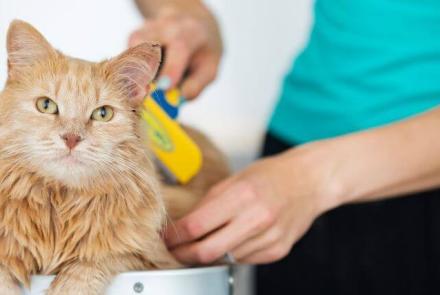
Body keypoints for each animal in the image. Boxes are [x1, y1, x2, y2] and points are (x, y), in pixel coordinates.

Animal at [0, 21, 229, 295]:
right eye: (46, 105)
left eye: (103, 114)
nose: (71, 138)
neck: (61, 205)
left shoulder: (156, 257)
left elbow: (94, 262)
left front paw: (69, 285)